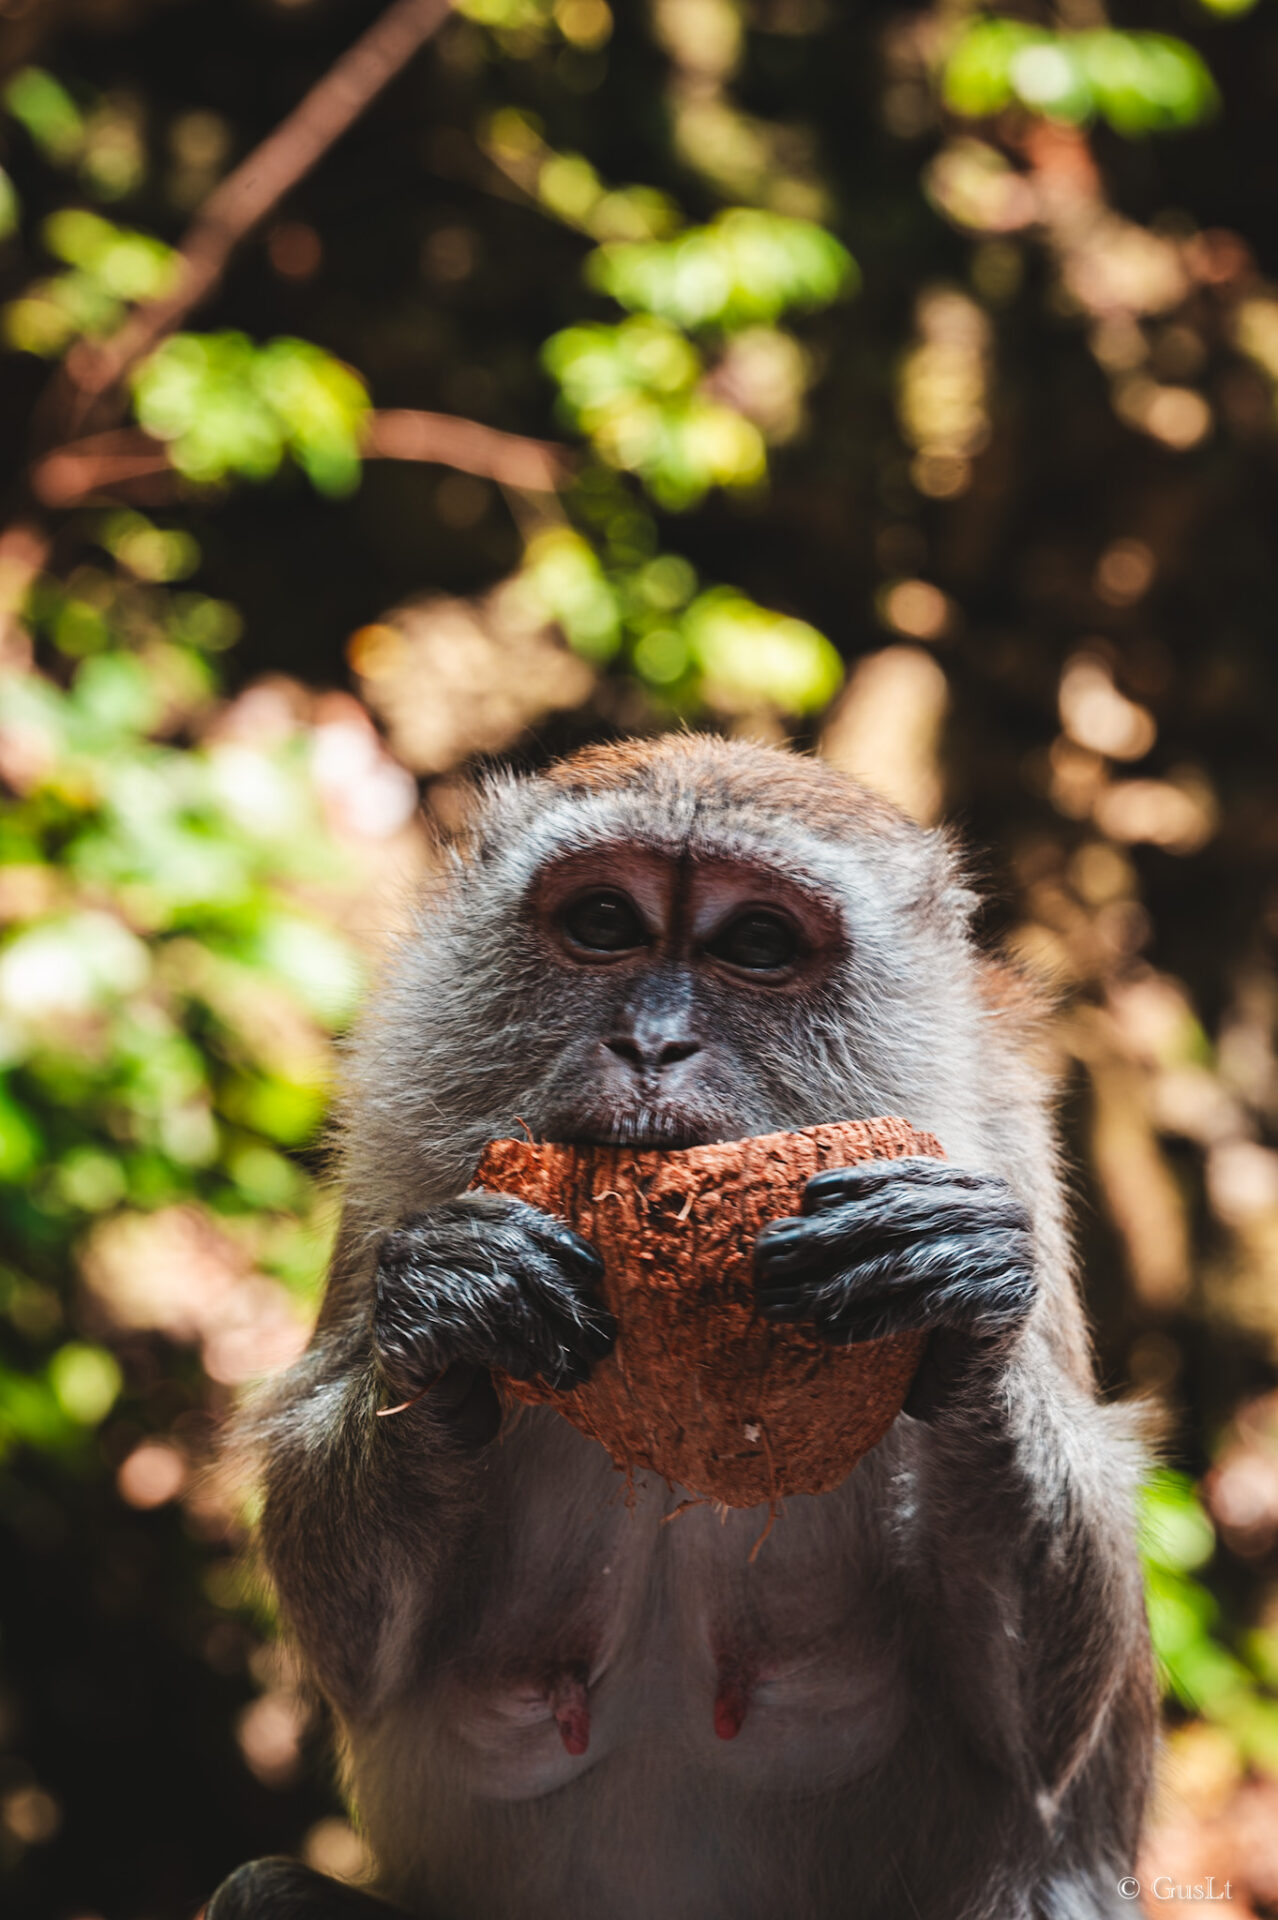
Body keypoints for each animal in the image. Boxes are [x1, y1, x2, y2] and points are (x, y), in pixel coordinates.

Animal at [206, 733, 1143, 1920]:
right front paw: (453, 1301)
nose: (651, 1043)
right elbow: (357, 1662)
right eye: (607, 921)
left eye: (757, 942)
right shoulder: (392, 1155)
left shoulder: (1007, 1132)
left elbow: (1042, 1733)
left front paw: (964, 1294)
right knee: (262, 1890)